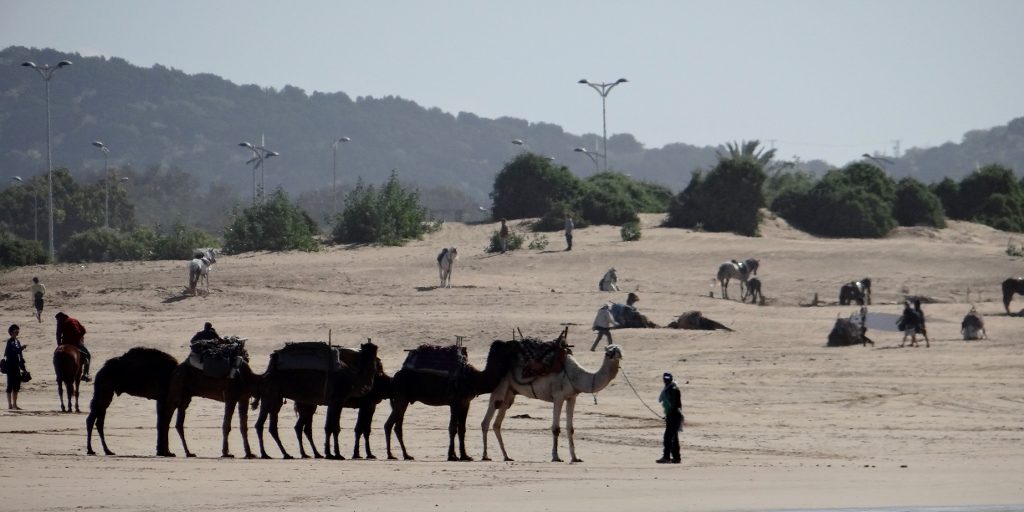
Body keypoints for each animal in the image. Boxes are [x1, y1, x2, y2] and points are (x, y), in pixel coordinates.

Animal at [384, 340, 521, 461]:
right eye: (507, 346)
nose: (517, 343)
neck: (473, 378)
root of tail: (393, 379)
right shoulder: (455, 402)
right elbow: (453, 428)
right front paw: (452, 456)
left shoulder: (465, 403)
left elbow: (462, 429)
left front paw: (465, 456)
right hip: (401, 398)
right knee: (389, 424)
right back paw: (391, 455)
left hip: (403, 400)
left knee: (397, 426)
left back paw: (406, 455)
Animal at [481, 344, 624, 463]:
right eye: (609, 352)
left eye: (618, 348)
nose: (619, 354)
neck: (576, 376)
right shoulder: (558, 396)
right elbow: (555, 428)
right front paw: (556, 457)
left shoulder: (572, 397)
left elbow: (570, 428)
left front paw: (575, 458)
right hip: (500, 386)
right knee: (486, 420)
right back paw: (485, 456)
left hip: (510, 392)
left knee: (497, 423)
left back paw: (506, 456)